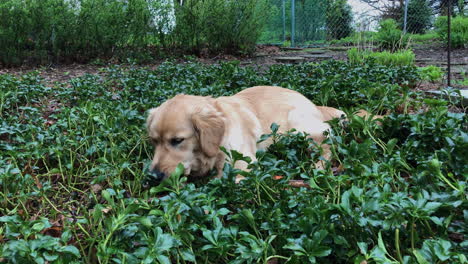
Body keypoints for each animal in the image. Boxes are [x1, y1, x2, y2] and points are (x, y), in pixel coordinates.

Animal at [146, 85, 370, 183]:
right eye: (154, 141)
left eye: (177, 140)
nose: (153, 176)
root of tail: (315, 105)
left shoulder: (242, 164)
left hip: (298, 128)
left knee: (328, 146)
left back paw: (317, 168)